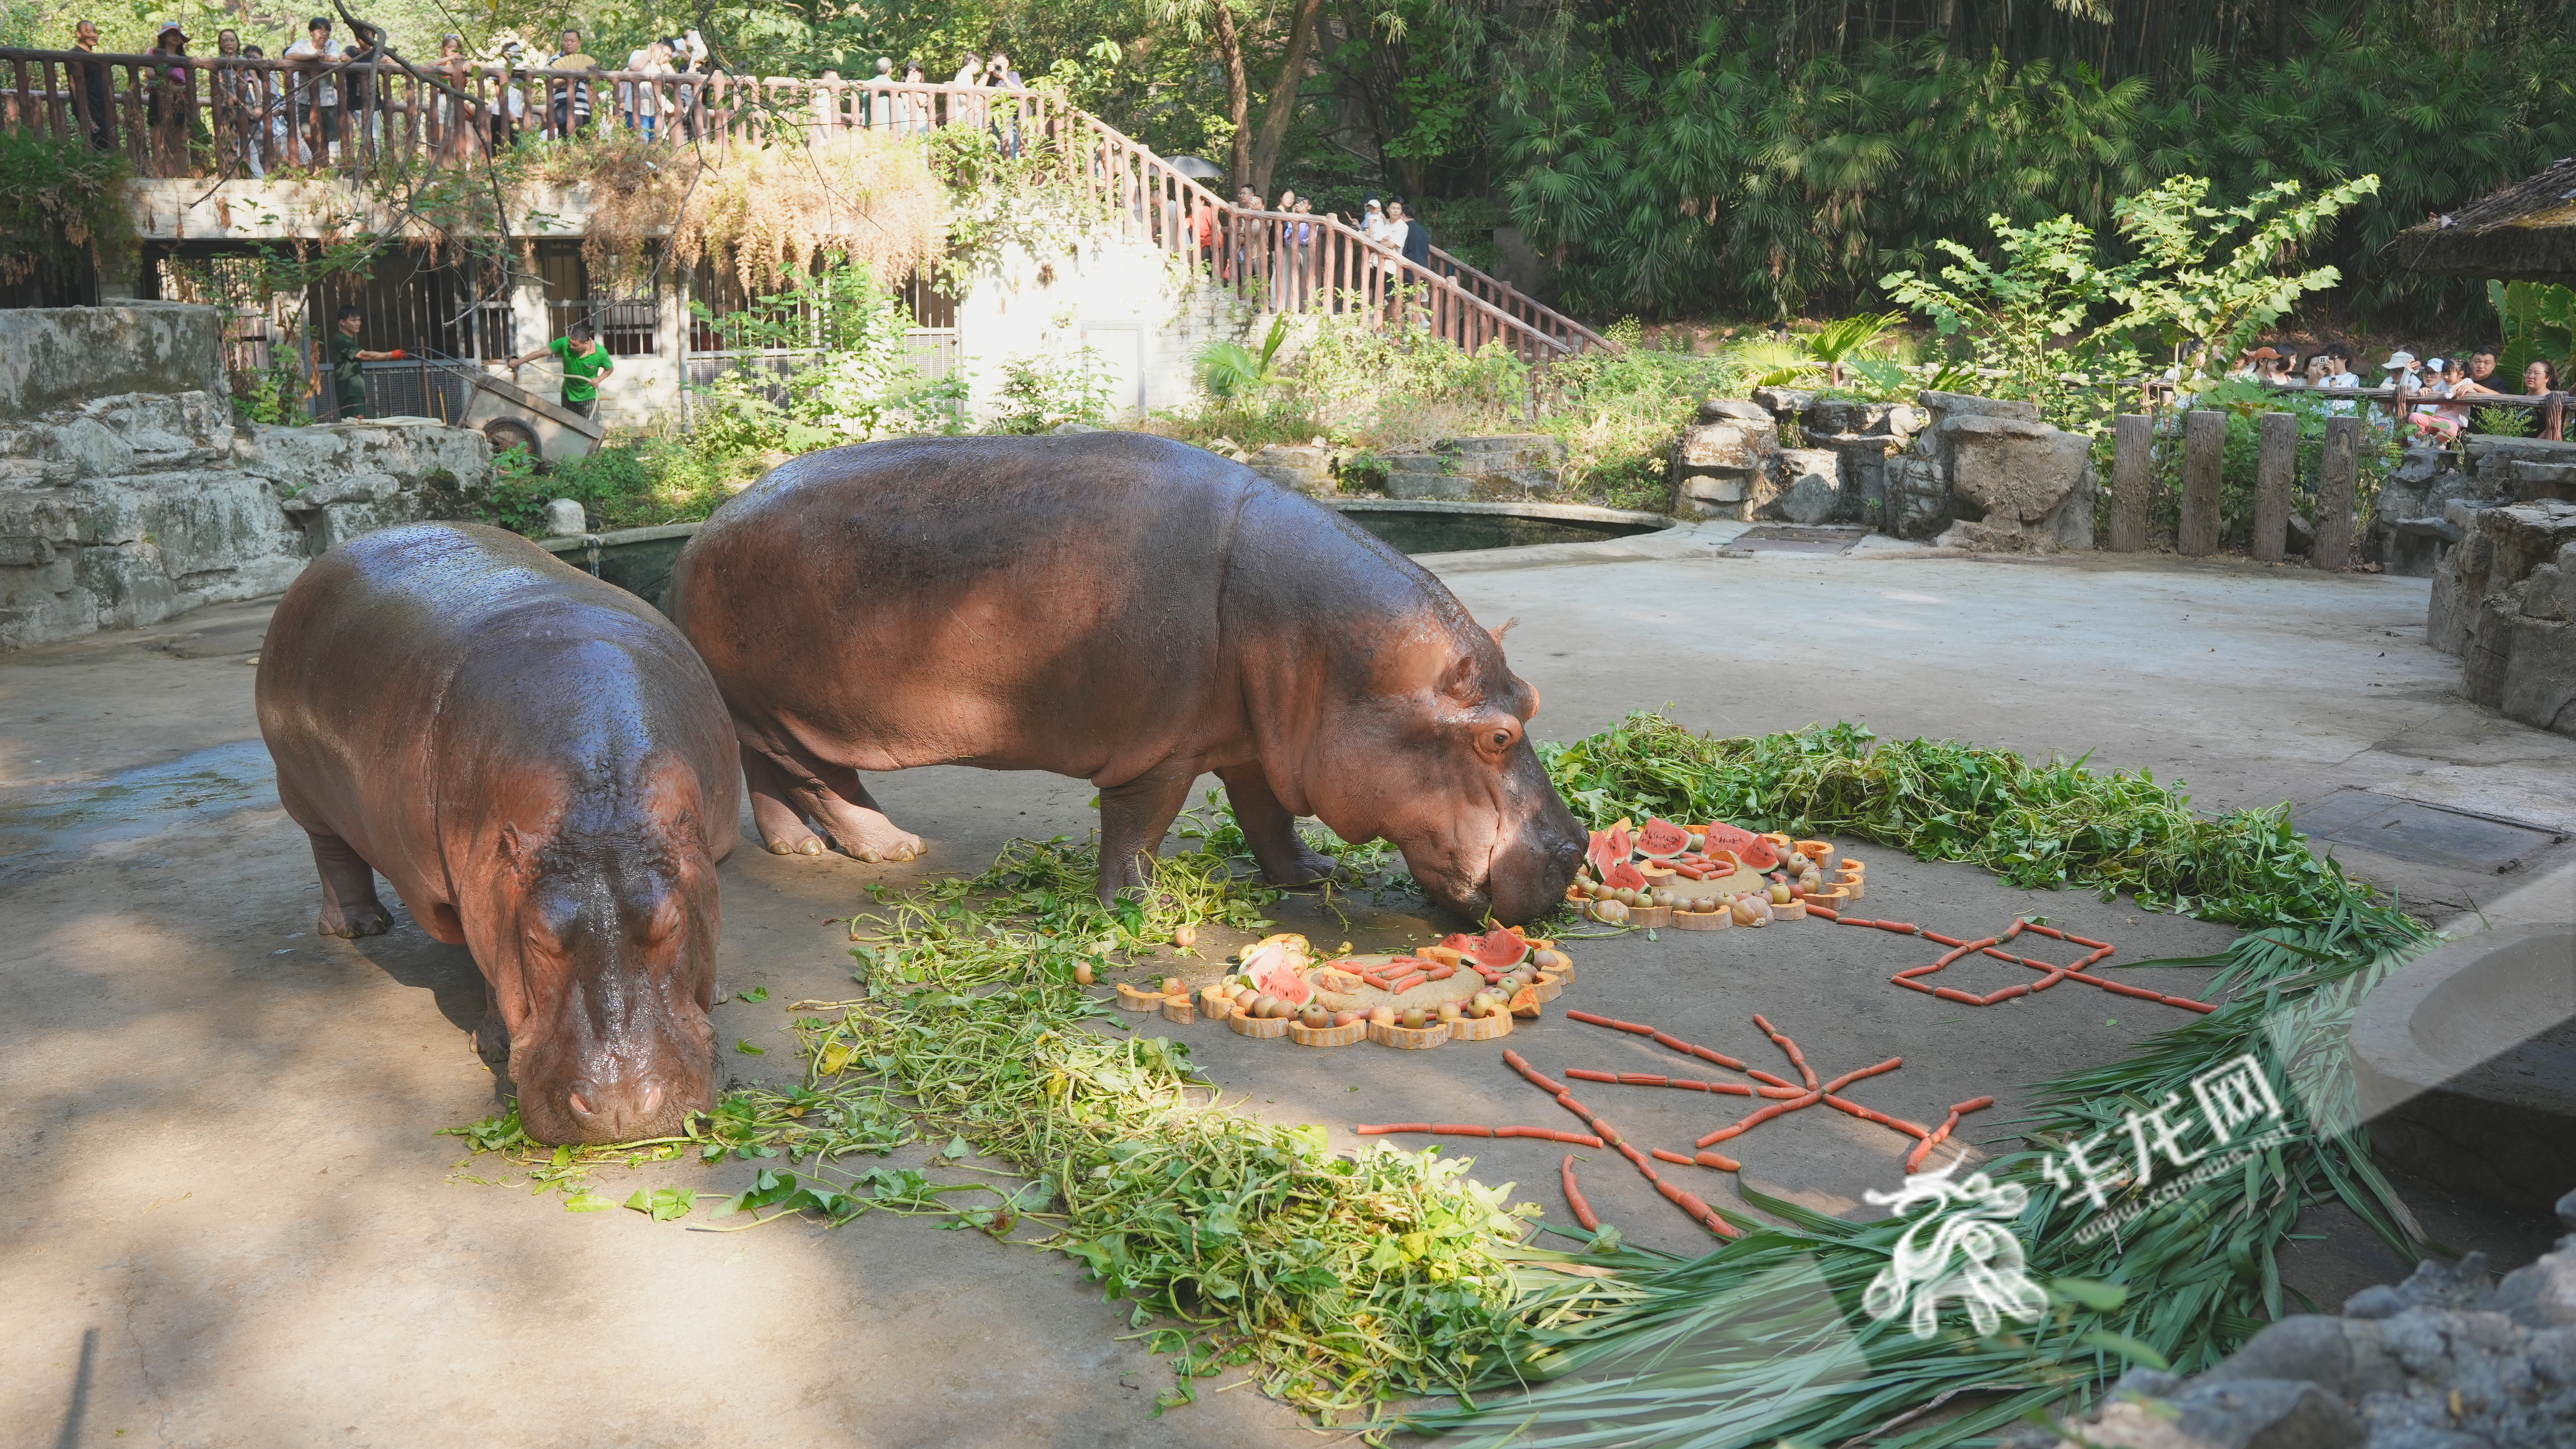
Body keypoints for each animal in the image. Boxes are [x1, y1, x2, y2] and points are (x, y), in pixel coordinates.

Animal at [256, 518, 742, 1139]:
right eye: (537, 939)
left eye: (671, 924)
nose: (621, 1109)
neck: (600, 804)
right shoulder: (482, 892)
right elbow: (488, 966)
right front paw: (491, 1045)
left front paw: (719, 991)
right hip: (300, 790)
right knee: (333, 855)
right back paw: (361, 928)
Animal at [675, 430, 1576, 923]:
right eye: (1498, 737)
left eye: (1533, 701)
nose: (1576, 850)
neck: (1331, 650)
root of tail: (705, 529)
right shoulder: (1162, 751)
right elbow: (1140, 827)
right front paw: (1142, 907)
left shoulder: (1256, 742)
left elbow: (1269, 817)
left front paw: (1311, 876)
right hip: (793, 711)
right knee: (823, 781)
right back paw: (892, 849)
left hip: (763, 709)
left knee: (770, 774)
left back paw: (797, 848)